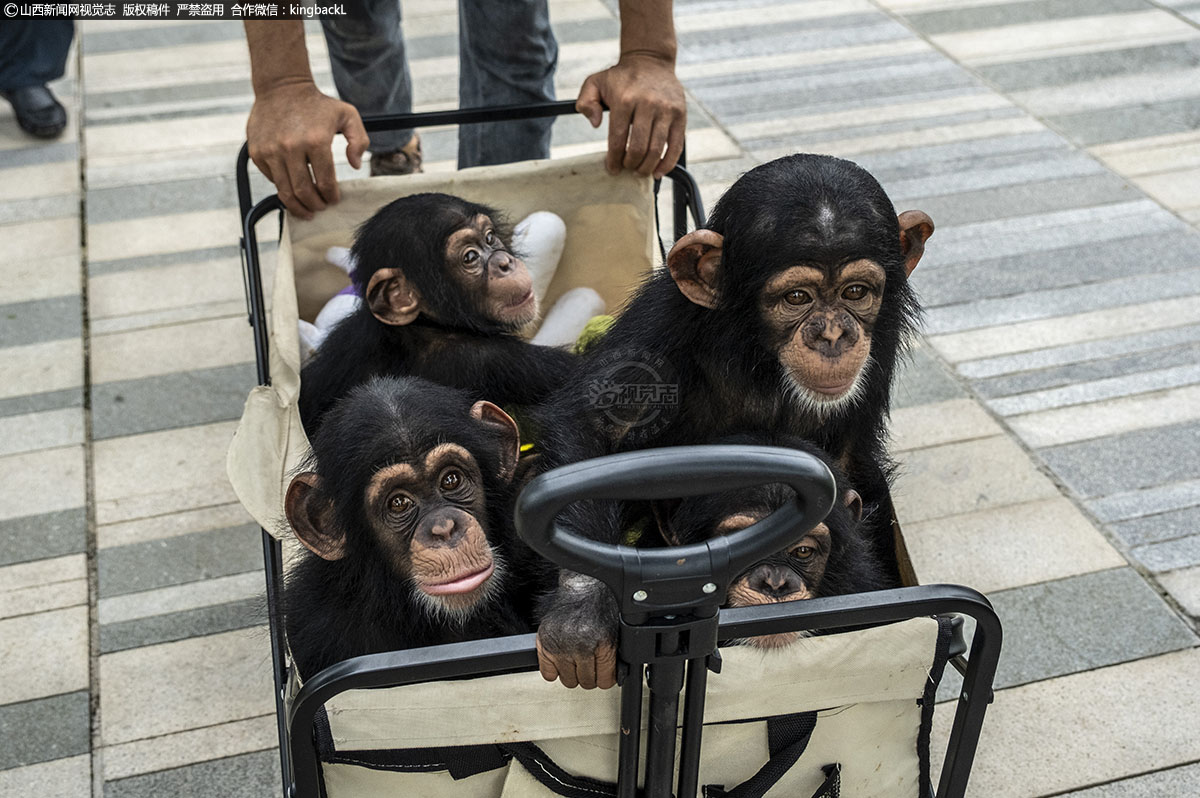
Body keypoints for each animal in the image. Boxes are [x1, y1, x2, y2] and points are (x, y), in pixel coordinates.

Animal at [300, 193, 580, 436]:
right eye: (470, 257)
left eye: (490, 238)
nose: (505, 263)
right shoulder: (495, 361)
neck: (425, 325)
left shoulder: (345, 341)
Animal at [537, 153, 936, 686]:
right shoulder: (663, 322)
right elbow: (595, 426)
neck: (761, 355)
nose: (833, 335)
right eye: (797, 298)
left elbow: (855, 463)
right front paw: (581, 610)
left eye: (856, 291)